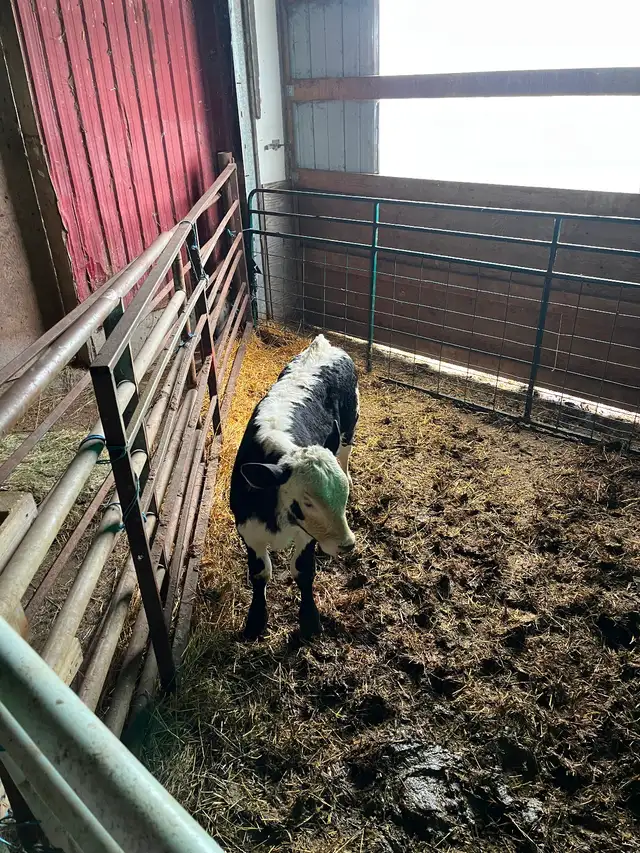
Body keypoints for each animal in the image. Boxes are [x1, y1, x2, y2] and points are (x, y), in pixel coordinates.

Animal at [230, 334, 359, 640]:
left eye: (342, 497)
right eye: (308, 501)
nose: (347, 544)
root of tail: (323, 344)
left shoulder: (306, 534)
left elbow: (302, 572)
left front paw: (310, 621)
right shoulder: (248, 530)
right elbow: (260, 573)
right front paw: (255, 621)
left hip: (350, 422)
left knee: (346, 451)